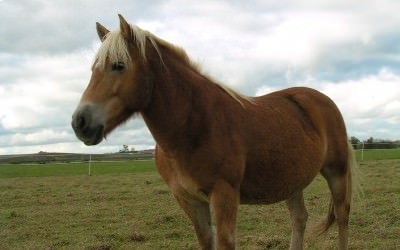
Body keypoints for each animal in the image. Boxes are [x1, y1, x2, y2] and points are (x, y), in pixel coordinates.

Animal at [71, 14, 356, 249]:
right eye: (93, 69)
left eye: (118, 65)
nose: (79, 122)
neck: (193, 126)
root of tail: (321, 99)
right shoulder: (191, 201)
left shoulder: (224, 196)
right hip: (292, 179)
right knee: (299, 219)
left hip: (336, 172)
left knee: (343, 216)